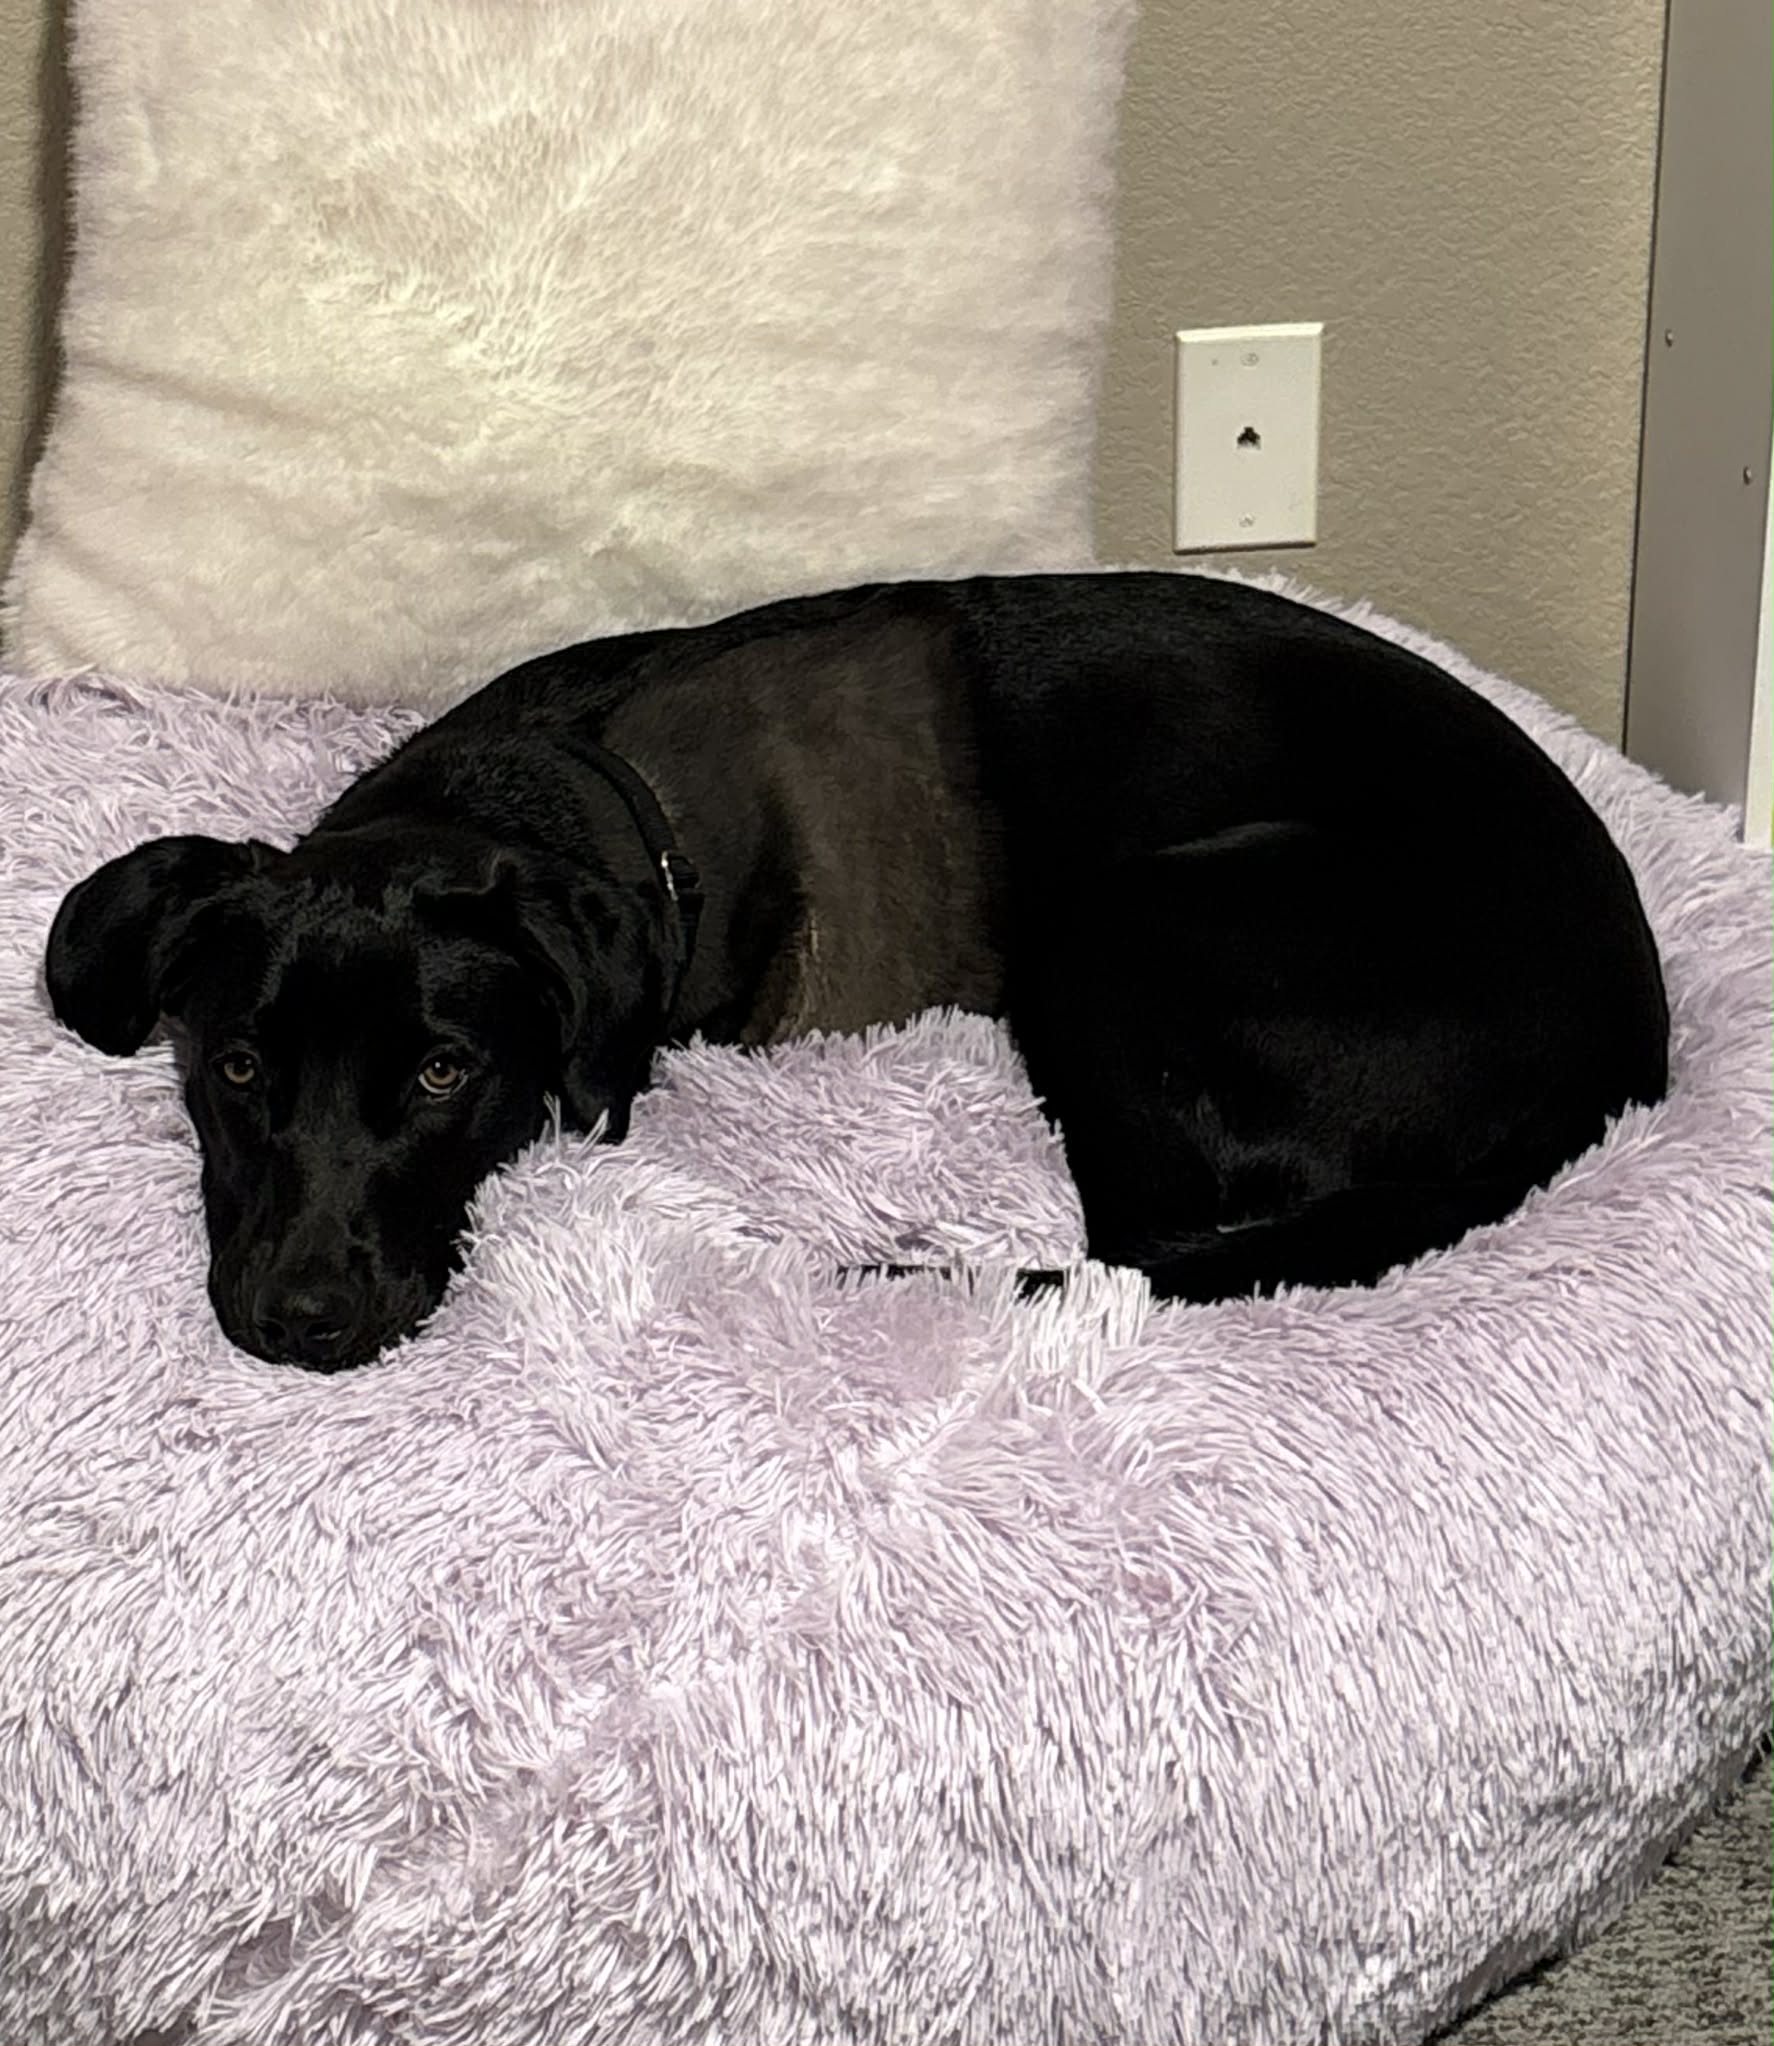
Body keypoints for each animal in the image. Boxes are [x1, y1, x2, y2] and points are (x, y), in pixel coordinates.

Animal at [46, 573, 1669, 1369]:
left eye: (447, 1072)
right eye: (235, 1068)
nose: (299, 1325)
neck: (593, 791)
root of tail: (1622, 1058)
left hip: (1120, 926)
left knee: (1134, 1241)